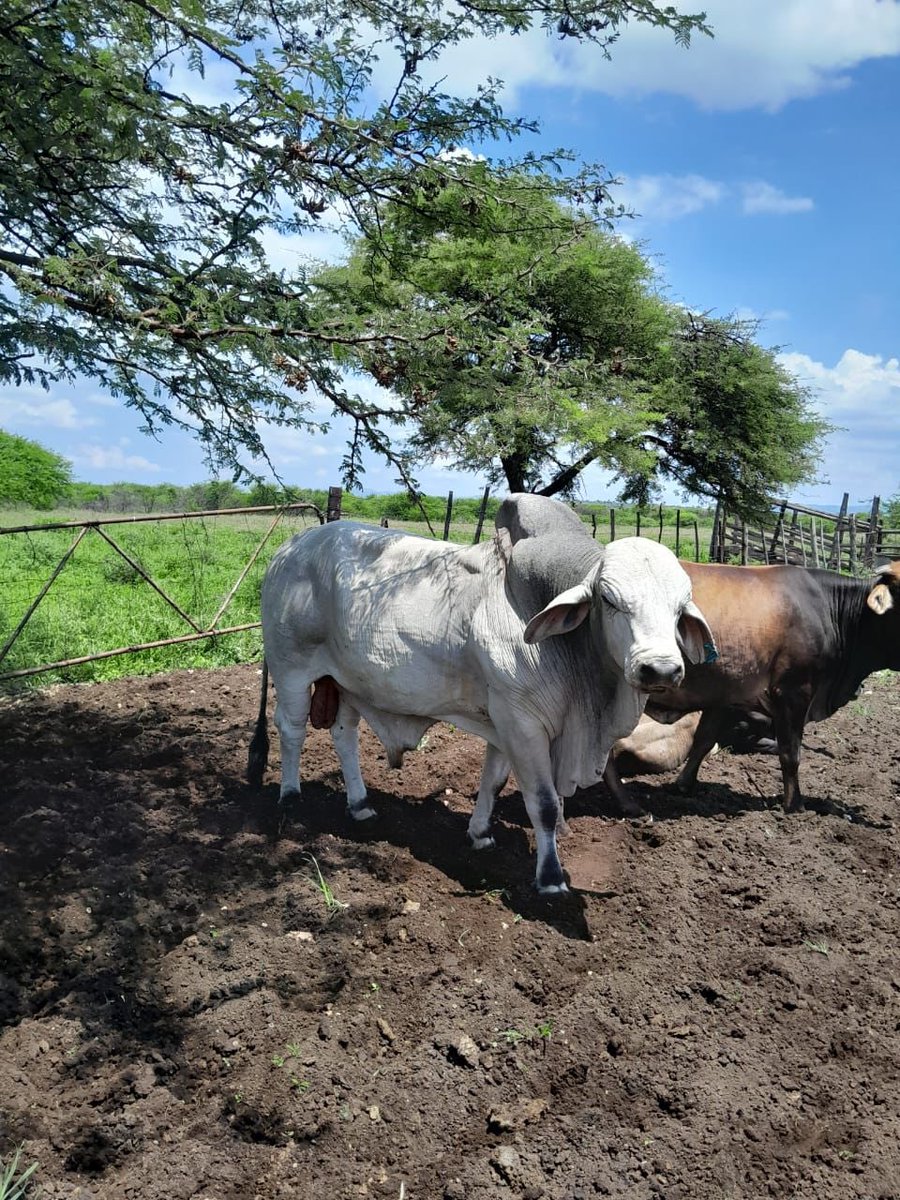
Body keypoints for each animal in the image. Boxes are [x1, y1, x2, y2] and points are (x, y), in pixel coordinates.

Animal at [247, 519, 716, 892]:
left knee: (344, 735)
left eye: (679, 609)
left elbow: (493, 780)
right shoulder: (522, 723)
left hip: (346, 682)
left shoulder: (503, 721)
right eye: (610, 600)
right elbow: (544, 804)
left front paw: (480, 834)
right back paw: (291, 797)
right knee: (291, 729)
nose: (660, 669)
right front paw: (550, 879)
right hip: (292, 669)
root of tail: (291, 547)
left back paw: (360, 805)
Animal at [604, 559, 900, 813]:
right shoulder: (793, 692)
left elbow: (704, 741)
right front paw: (795, 805)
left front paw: (684, 785)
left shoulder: (724, 695)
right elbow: (791, 753)